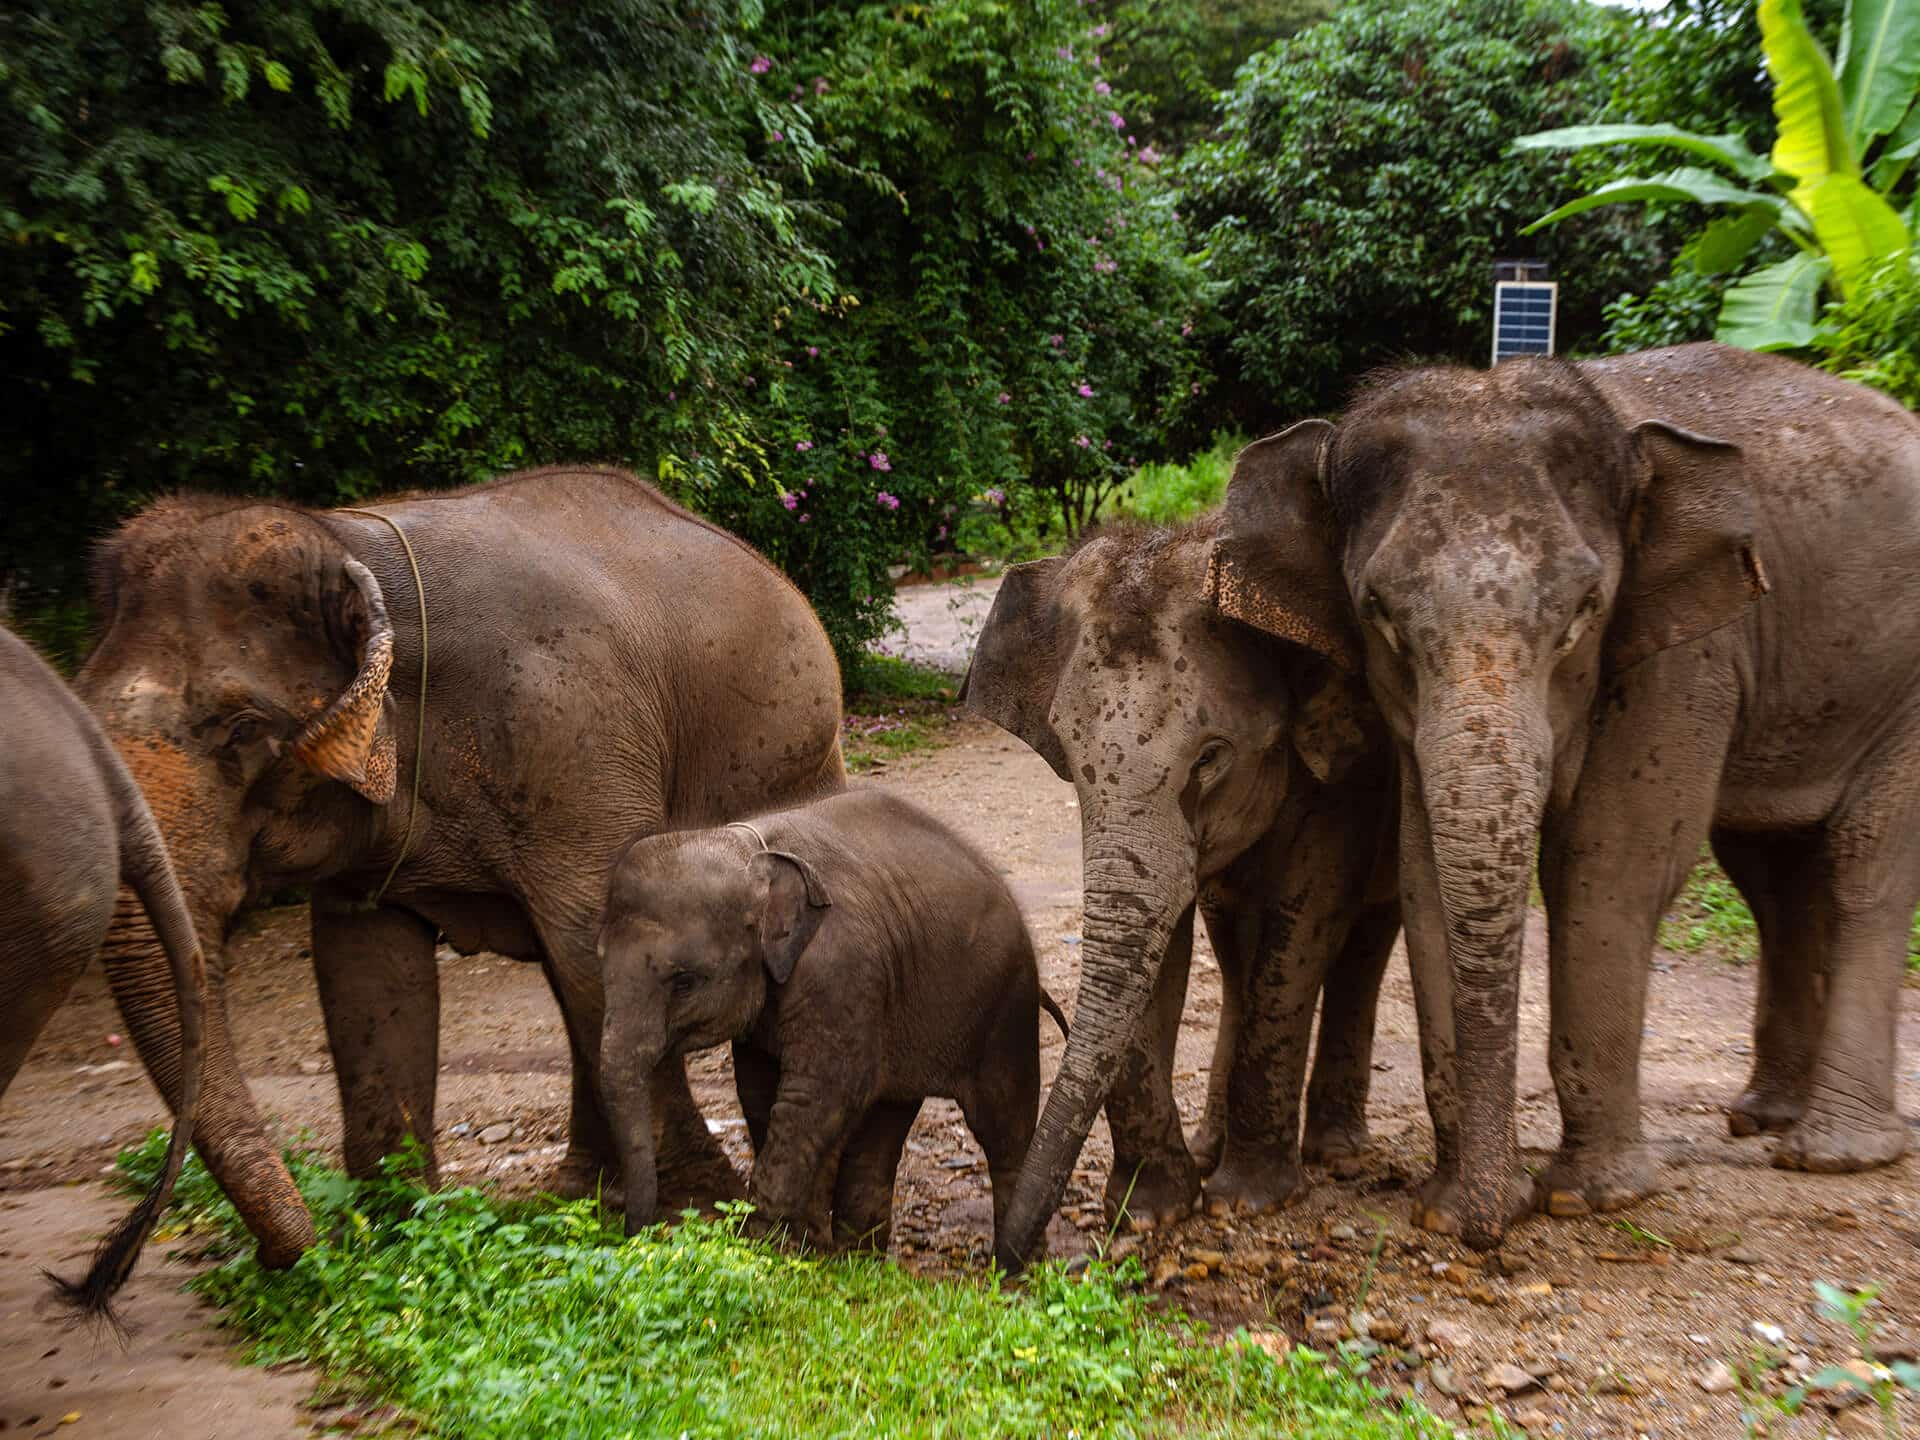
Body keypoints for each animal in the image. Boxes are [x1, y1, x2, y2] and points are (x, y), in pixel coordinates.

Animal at [74, 467, 845, 1267]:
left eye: (243, 729)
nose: (296, 1252)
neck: (348, 546)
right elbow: (365, 973)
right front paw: (388, 1230)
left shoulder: (568, 737)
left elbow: (597, 946)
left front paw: (695, 1212)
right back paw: (579, 1192)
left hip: (790, 760)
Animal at [597, 789, 1066, 1250]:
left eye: (684, 982)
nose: (635, 1234)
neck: (750, 850)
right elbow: (760, 1088)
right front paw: (803, 1247)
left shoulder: (842, 968)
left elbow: (818, 1093)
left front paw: (758, 1251)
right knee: (884, 1124)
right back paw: (858, 1259)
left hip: (1005, 1004)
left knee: (1002, 1126)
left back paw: (1014, 1266)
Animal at [964, 517, 1399, 1271]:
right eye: (1068, 756)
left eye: (1211, 757)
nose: (1012, 1261)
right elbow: (1158, 944)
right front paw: (1151, 1212)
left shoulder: (1342, 774)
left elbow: (1308, 915)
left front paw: (1250, 1203)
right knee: (1234, 953)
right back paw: (1212, 1148)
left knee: (1365, 942)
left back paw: (1335, 1155)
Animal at [1210, 342, 1920, 1250]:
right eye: (1380, 614)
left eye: (1586, 611)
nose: (1490, 1228)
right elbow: (1425, 873)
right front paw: (1455, 1205)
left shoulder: (1684, 649)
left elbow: (1609, 866)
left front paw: (1592, 1199)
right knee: (1774, 873)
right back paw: (1766, 1118)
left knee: (1865, 863)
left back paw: (1830, 1154)